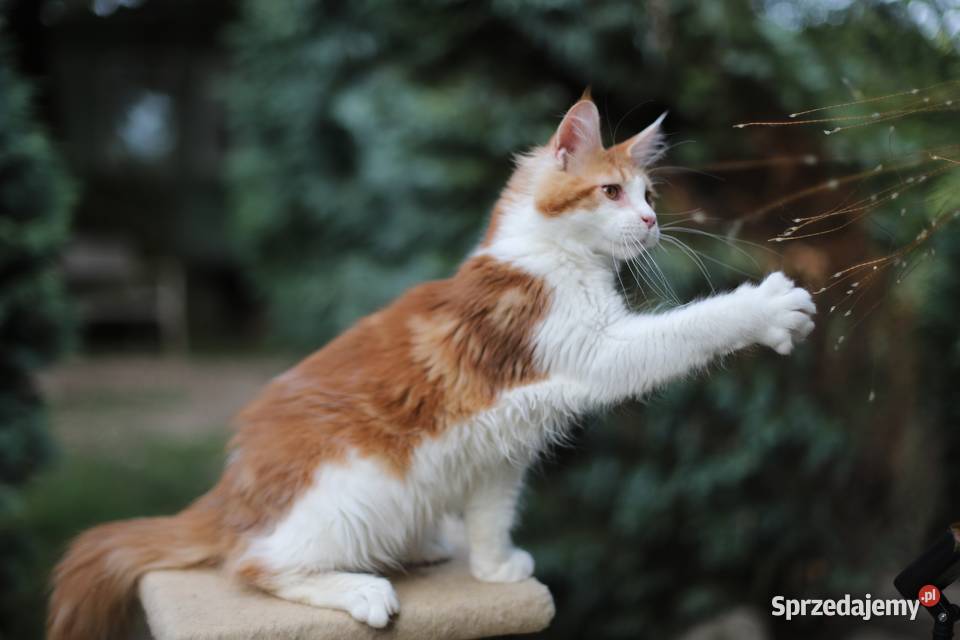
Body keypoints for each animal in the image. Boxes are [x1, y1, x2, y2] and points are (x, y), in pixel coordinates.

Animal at [47, 96, 816, 640]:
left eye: (650, 195)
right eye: (611, 194)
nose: (654, 223)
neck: (547, 257)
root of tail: (231, 490)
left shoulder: (502, 449)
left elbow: (492, 515)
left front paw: (495, 569)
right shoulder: (594, 349)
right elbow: (689, 327)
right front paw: (768, 307)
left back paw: (418, 550)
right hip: (355, 488)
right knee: (255, 565)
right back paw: (361, 587)